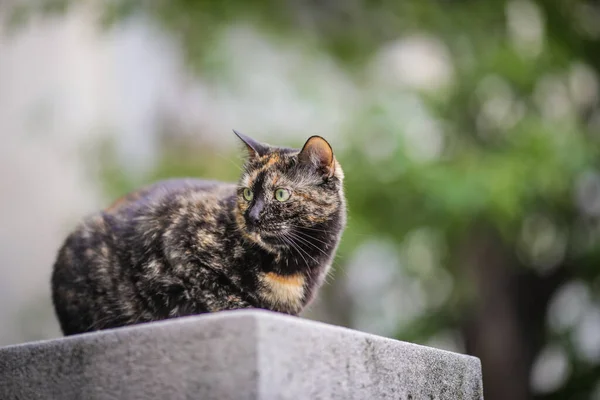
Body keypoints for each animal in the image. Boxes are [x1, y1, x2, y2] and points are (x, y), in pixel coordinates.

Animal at [51, 131, 346, 334]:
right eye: (247, 193)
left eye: (281, 194)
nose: (251, 216)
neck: (290, 267)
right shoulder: (178, 248)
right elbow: (219, 294)